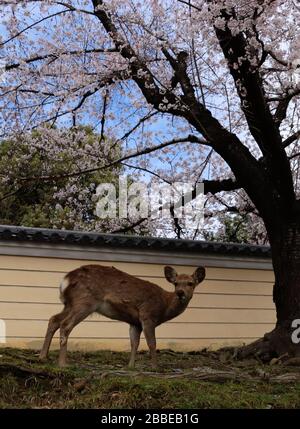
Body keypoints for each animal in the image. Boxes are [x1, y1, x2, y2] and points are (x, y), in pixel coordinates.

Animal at [38, 262, 205, 366]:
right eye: (176, 283)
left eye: (190, 283)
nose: (180, 293)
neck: (164, 306)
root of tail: (65, 280)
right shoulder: (147, 314)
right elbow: (152, 343)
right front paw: (155, 367)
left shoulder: (135, 322)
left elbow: (134, 343)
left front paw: (131, 366)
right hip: (85, 301)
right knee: (66, 324)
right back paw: (63, 363)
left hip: (69, 303)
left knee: (54, 319)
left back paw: (43, 356)